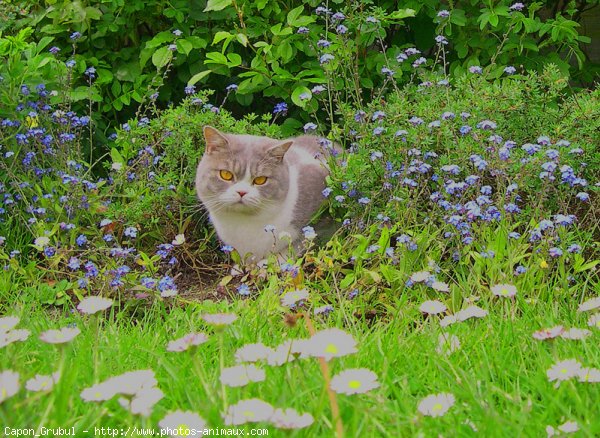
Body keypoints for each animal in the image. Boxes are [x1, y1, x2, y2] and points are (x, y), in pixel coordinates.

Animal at [196, 125, 338, 266]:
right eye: (226, 174)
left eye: (260, 180)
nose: (242, 191)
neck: (244, 223)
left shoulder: (319, 220)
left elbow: (296, 247)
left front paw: (265, 266)